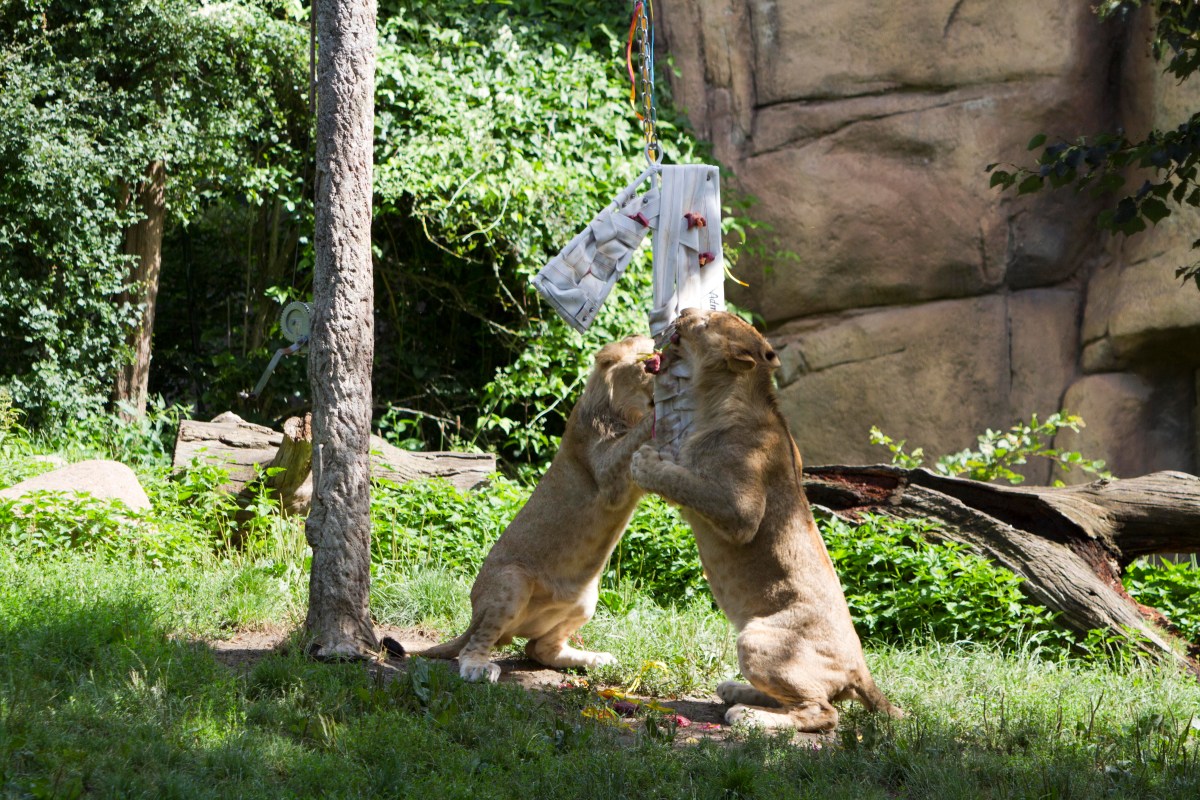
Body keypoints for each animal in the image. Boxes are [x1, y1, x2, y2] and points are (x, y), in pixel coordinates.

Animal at [420, 335, 657, 681]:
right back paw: (478, 667)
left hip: (586, 599)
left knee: (539, 649)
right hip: (512, 582)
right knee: (475, 645)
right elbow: (631, 444)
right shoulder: (605, 475)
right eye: (649, 363)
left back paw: (594, 658)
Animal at [628, 309, 902, 734]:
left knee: (823, 712)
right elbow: (683, 476)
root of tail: (862, 669)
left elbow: (686, 481)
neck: (718, 400)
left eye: (705, 322)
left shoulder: (742, 511)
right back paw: (736, 691)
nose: (684, 312)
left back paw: (748, 715)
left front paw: (646, 461)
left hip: (757, 639)